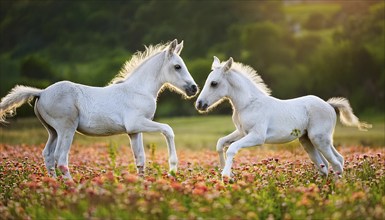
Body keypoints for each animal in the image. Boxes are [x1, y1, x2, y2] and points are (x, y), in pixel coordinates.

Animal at [0, 39, 196, 180]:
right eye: (177, 66)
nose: (193, 88)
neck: (138, 90)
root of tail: (41, 92)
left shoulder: (134, 131)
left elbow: (140, 159)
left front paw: (141, 186)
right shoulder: (136, 123)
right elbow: (168, 129)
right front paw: (173, 168)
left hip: (53, 131)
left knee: (48, 155)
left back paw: (54, 185)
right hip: (66, 129)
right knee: (60, 158)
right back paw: (72, 188)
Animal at [196, 57, 370, 180]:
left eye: (214, 83)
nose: (199, 104)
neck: (249, 104)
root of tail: (329, 105)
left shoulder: (257, 136)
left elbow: (232, 148)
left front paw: (226, 176)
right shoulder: (241, 132)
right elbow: (221, 143)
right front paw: (224, 170)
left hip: (319, 139)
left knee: (336, 164)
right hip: (308, 140)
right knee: (328, 164)